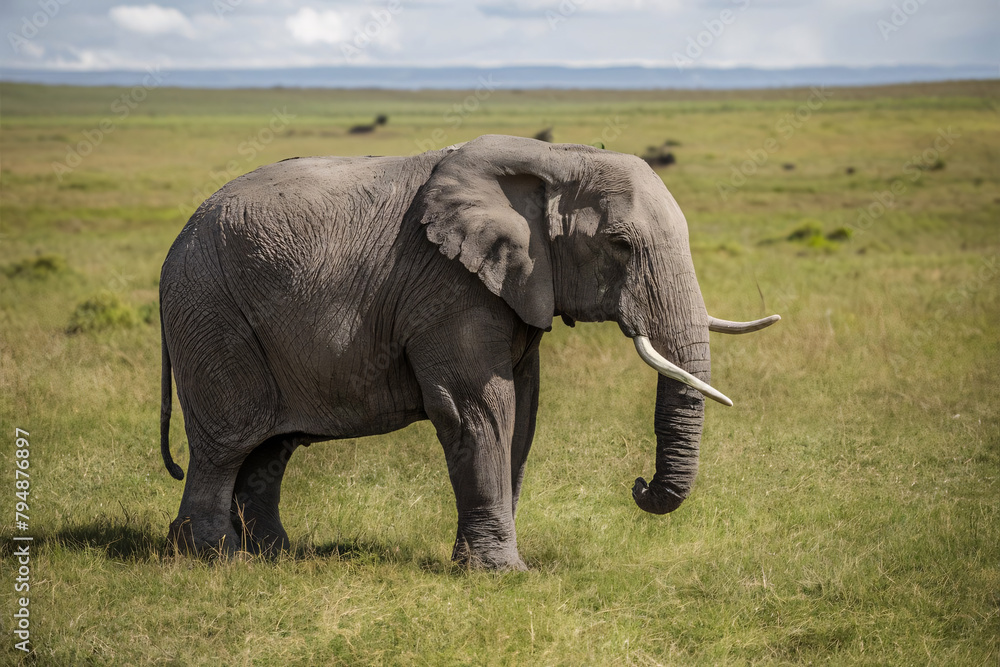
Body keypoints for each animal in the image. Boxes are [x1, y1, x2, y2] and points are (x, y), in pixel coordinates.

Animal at [159, 134, 779, 570]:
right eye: (620, 244)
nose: (639, 485)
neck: (556, 161)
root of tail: (178, 239)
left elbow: (524, 412)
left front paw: (491, 563)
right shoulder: (448, 287)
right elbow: (479, 410)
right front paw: (503, 573)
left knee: (271, 447)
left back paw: (273, 556)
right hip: (210, 312)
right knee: (228, 441)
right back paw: (215, 559)